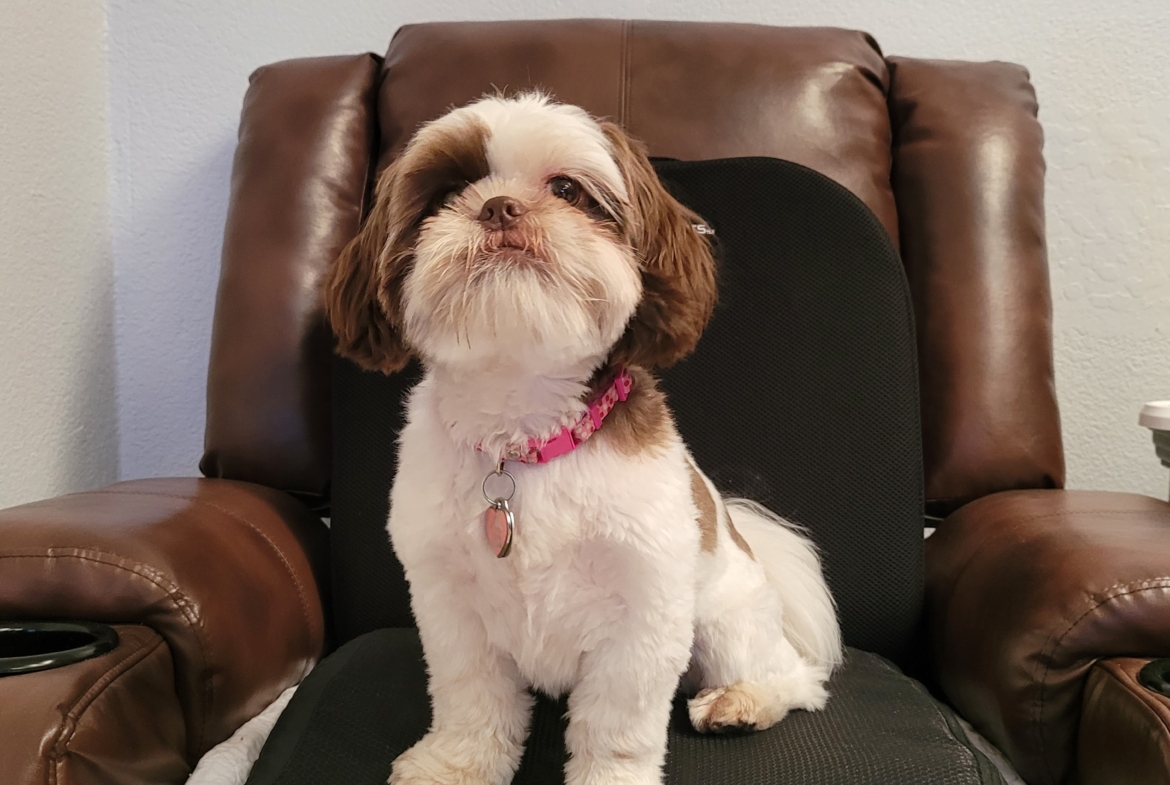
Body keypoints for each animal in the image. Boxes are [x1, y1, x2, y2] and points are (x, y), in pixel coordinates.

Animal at [325, 93, 847, 785]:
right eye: (448, 192)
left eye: (567, 189)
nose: (499, 206)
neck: (524, 437)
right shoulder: (449, 604)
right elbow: (471, 698)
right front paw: (456, 764)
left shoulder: (643, 608)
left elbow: (617, 726)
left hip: (722, 619)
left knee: (794, 678)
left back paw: (742, 701)